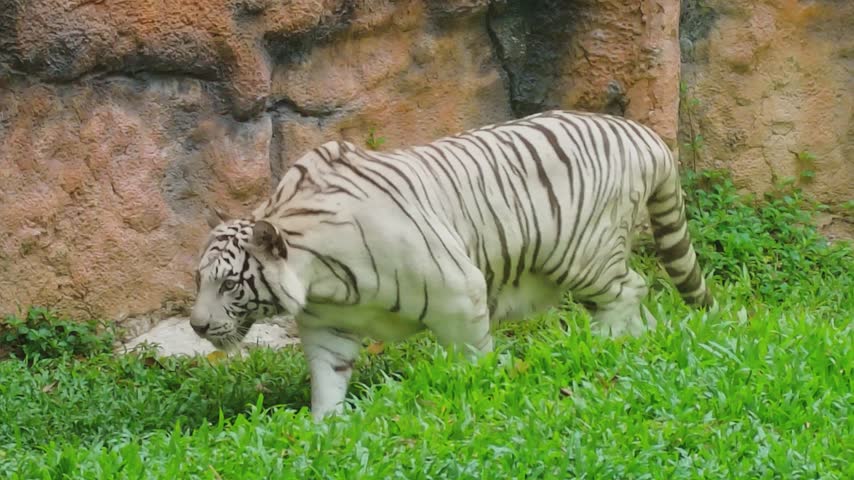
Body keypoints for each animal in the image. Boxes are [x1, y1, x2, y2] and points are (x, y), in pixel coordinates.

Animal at [189, 110, 713, 420]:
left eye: (230, 284)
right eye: (199, 280)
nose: (196, 326)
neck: (322, 279)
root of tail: (644, 134)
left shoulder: (460, 292)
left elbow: (472, 359)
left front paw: (475, 392)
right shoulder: (327, 327)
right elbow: (327, 381)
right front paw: (325, 428)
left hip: (585, 254)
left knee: (631, 289)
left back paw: (604, 345)